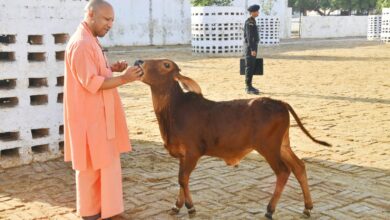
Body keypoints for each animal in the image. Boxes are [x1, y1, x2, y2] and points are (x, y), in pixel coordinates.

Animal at [137, 58, 330, 218]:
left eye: (166, 65)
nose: (139, 62)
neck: (174, 109)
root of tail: (279, 102)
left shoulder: (192, 152)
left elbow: (182, 178)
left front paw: (190, 207)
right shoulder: (183, 156)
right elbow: (182, 180)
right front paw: (177, 206)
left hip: (268, 148)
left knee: (283, 171)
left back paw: (270, 209)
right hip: (283, 145)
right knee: (299, 167)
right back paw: (307, 207)